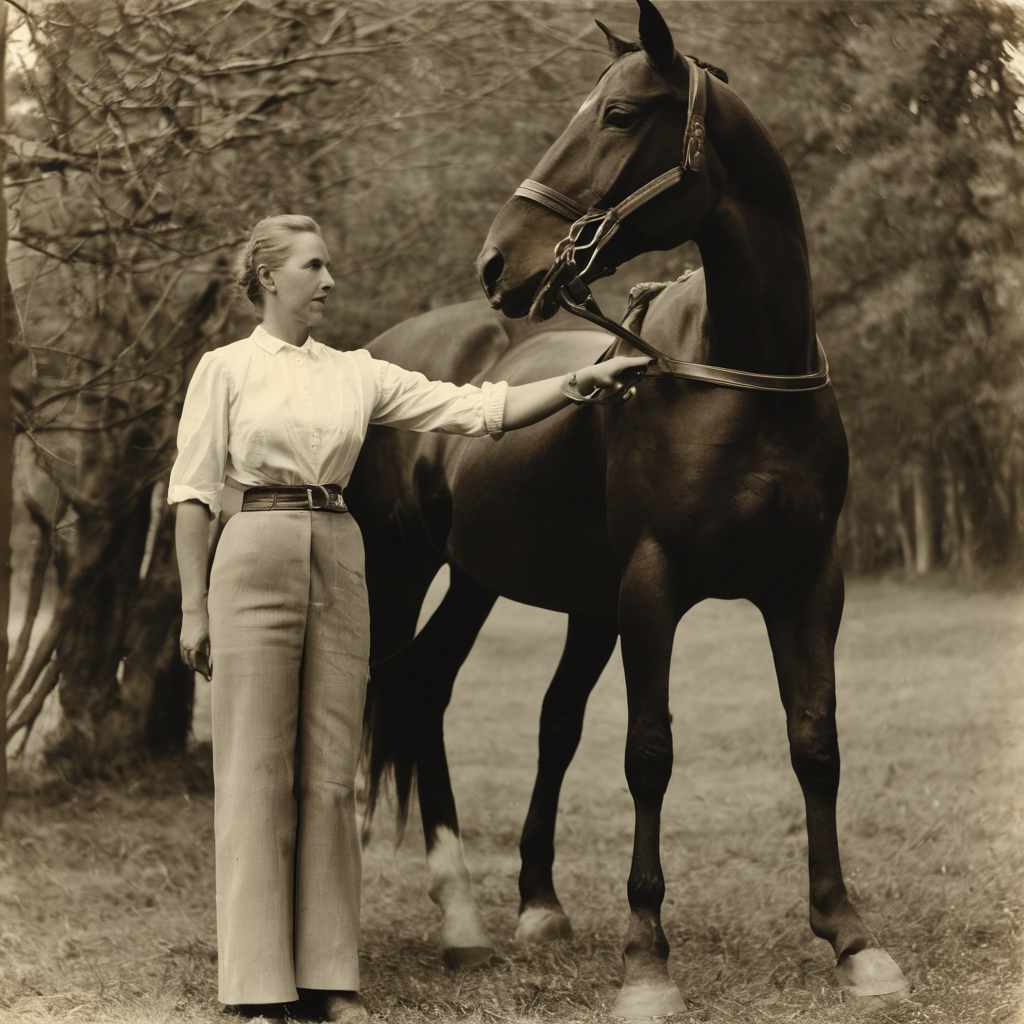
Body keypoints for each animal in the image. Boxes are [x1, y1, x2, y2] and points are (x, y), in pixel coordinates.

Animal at [348, 0, 909, 1007]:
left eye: (616, 115)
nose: (498, 261)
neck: (745, 375)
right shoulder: (653, 586)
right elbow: (649, 752)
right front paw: (647, 956)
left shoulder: (808, 585)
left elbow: (815, 741)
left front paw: (850, 937)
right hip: (399, 565)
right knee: (389, 688)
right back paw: (439, 911)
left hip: (488, 582)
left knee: (438, 689)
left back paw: (500, 913)